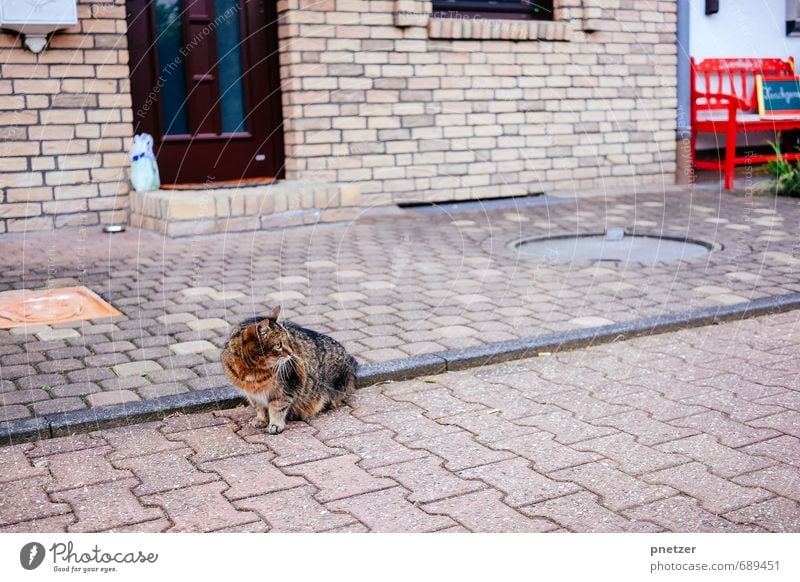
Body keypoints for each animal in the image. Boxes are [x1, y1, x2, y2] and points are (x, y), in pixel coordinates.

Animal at [219, 308, 356, 436]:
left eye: (288, 340)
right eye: (278, 345)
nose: (291, 353)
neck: (253, 369)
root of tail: (349, 357)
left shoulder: (287, 387)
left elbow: (277, 408)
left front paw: (275, 424)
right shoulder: (251, 394)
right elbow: (260, 408)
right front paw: (261, 420)